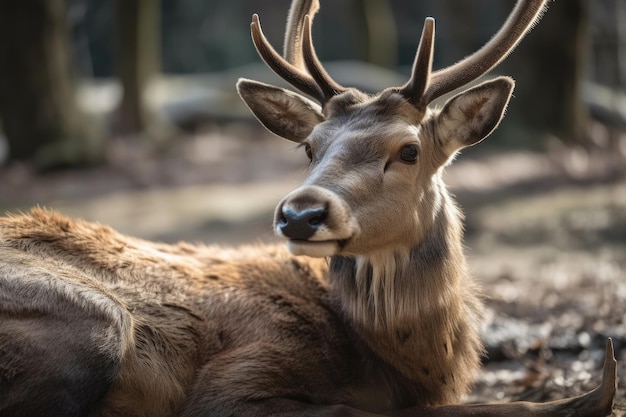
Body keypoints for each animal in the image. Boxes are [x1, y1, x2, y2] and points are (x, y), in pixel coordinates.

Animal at [0, 0, 616, 416]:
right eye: (309, 147)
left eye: (409, 150)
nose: (300, 214)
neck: (407, 363)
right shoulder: (237, 380)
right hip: (100, 324)